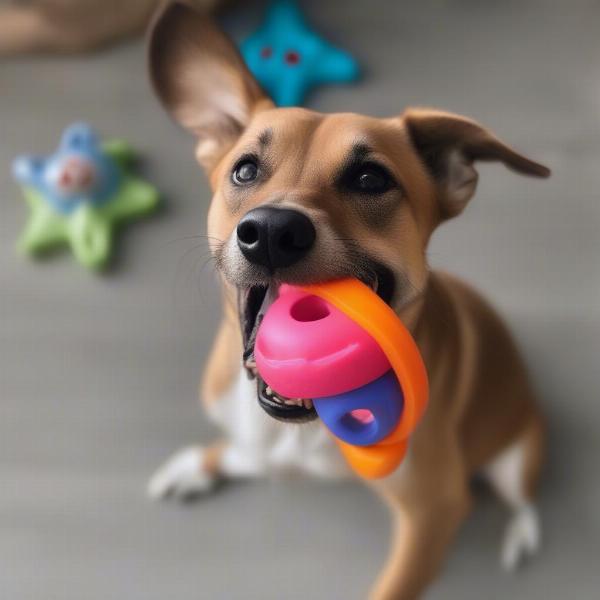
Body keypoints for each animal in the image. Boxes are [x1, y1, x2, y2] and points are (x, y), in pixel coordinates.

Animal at [148, 2, 552, 596]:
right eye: (244, 169)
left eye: (369, 178)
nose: (272, 231)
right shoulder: (258, 442)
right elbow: (242, 453)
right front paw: (198, 465)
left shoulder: (434, 511)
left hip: (515, 456)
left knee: (523, 500)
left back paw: (521, 536)